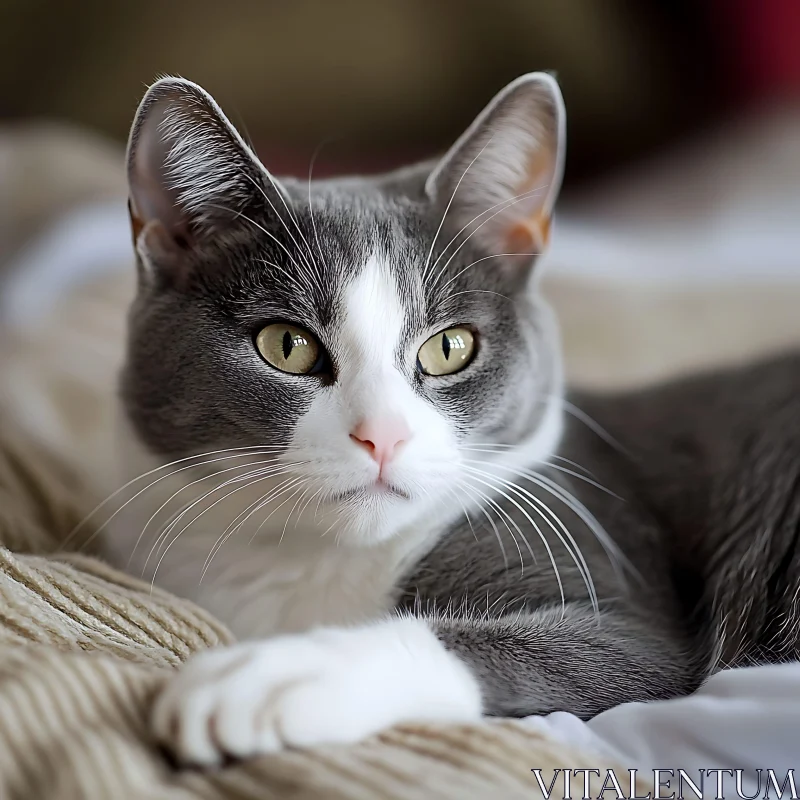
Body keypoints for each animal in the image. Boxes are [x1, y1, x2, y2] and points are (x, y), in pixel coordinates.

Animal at [95, 75, 800, 768]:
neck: (320, 565)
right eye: (286, 346)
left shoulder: (628, 605)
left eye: (450, 347)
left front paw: (264, 677)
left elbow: (566, 648)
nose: (382, 434)